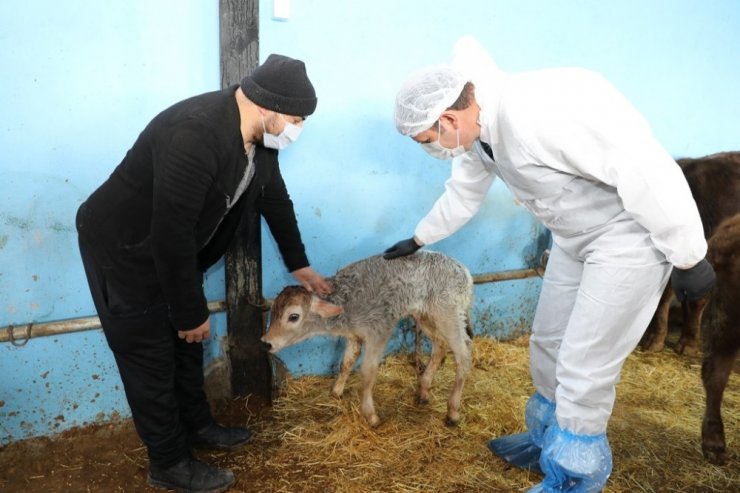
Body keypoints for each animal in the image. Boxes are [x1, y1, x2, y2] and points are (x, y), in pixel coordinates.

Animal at [264, 252, 472, 424]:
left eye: (293, 316)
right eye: (272, 312)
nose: (266, 342)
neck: (347, 303)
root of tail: (464, 271)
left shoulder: (378, 329)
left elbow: (368, 371)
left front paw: (370, 415)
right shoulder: (354, 335)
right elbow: (346, 363)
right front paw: (336, 392)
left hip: (448, 312)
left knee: (463, 354)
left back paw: (453, 411)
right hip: (424, 315)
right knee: (440, 344)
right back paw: (423, 390)